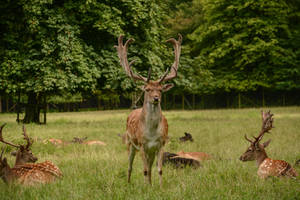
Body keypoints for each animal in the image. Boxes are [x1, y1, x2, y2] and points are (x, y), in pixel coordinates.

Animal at [115, 33, 183, 185]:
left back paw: (150, 184)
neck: (151, 133)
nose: (156, 98)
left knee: (150, 167)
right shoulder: (142, 145)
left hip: (150, 151)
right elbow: (144, 170)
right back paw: (128, 183)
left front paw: (159, 187)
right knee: (130, 166)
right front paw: (146, 187)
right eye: (147, 89)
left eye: (161, 90)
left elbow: (159, 169)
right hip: (130, 143)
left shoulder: (161, 144)